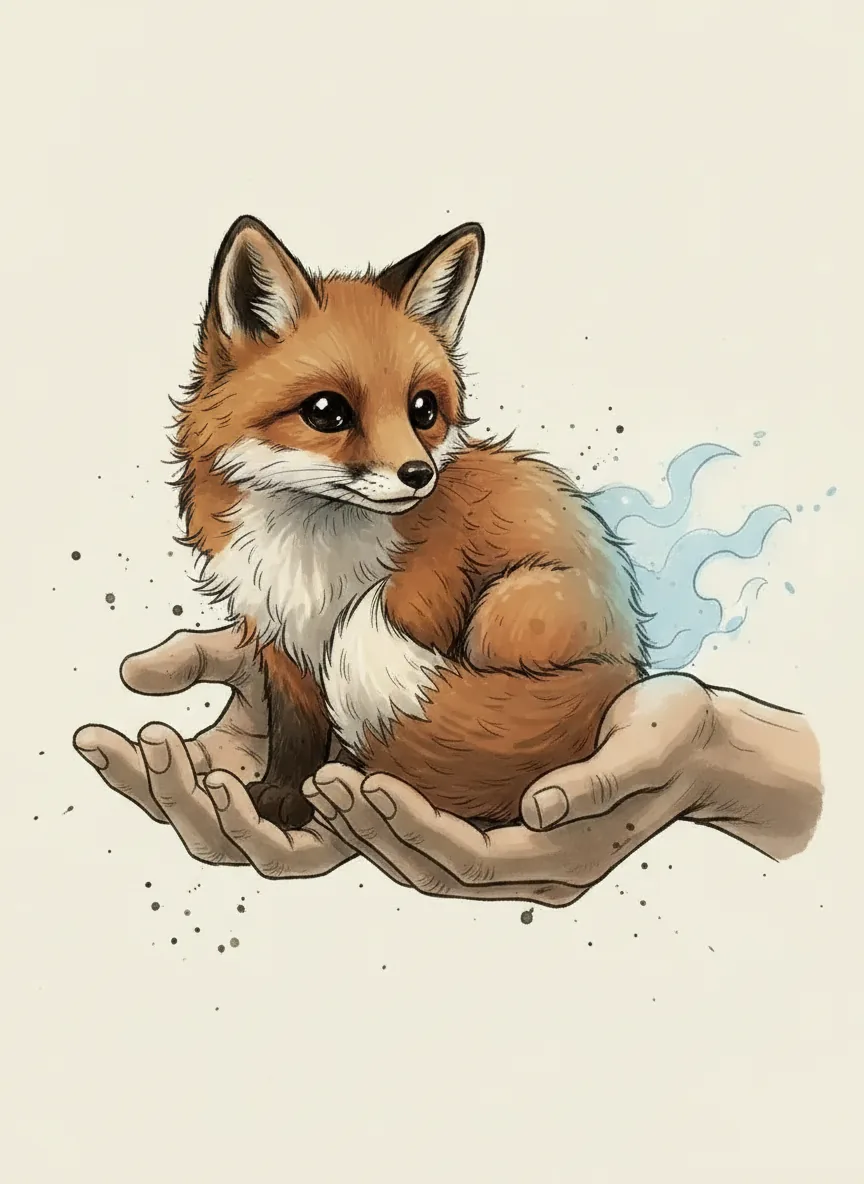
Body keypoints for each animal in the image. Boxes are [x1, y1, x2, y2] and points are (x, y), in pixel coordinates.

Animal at [172, 215, 651, 831]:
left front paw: (354, 779)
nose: (419, 474)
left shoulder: (423, 603)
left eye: (423, 409)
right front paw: (283, 795)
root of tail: (627, 665)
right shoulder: (278, 636)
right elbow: (297, 732)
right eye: (326, 412)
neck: (316, 552)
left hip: (510, 607)